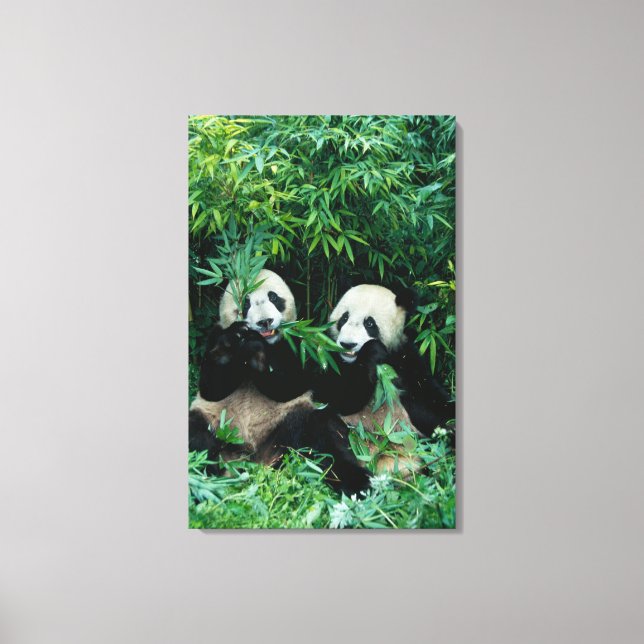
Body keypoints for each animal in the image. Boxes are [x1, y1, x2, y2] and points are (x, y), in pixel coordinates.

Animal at [189, 269, 370, 496]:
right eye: (246, 303)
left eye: (273, 298)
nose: (264, 322)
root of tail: (255, 461)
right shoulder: (214, 335)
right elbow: (211, 388)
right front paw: (228, 346)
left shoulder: (300, 342)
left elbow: (291, 385)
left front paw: (257, 351)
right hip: (217, 424)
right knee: (197, 435)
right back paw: (205, 477)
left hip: (290, 422)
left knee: (325, 437)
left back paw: (360, 484)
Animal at [314, 284, 455, 474]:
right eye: (344, 318)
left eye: (369, 323)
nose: (347, 344)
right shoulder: (327, 356)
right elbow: (340, 397)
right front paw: (372, 350)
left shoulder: (404, 359)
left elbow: (430, 398)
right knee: (327, 447)